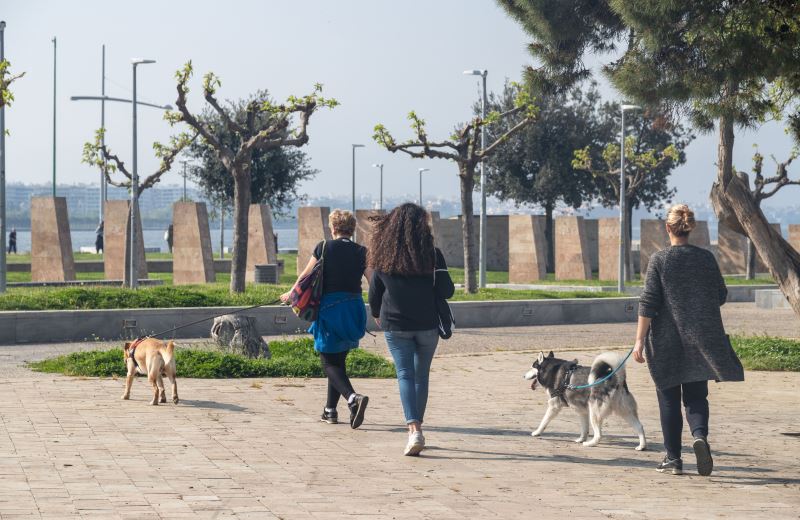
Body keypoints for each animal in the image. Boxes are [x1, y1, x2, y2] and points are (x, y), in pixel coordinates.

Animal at [520, 354, 648, 450]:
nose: (523, 376)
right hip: (625, 412)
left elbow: (544, 421)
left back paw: (590, 444)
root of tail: (616, 378)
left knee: (599, 435)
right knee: (639, 426)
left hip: (594, 412)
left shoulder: (554, 406)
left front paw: (537, 432)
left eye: (532, 366)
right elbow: (584, 429)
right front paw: (581, 439)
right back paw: (641, 446)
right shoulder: (582, 411)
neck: (552, 370)